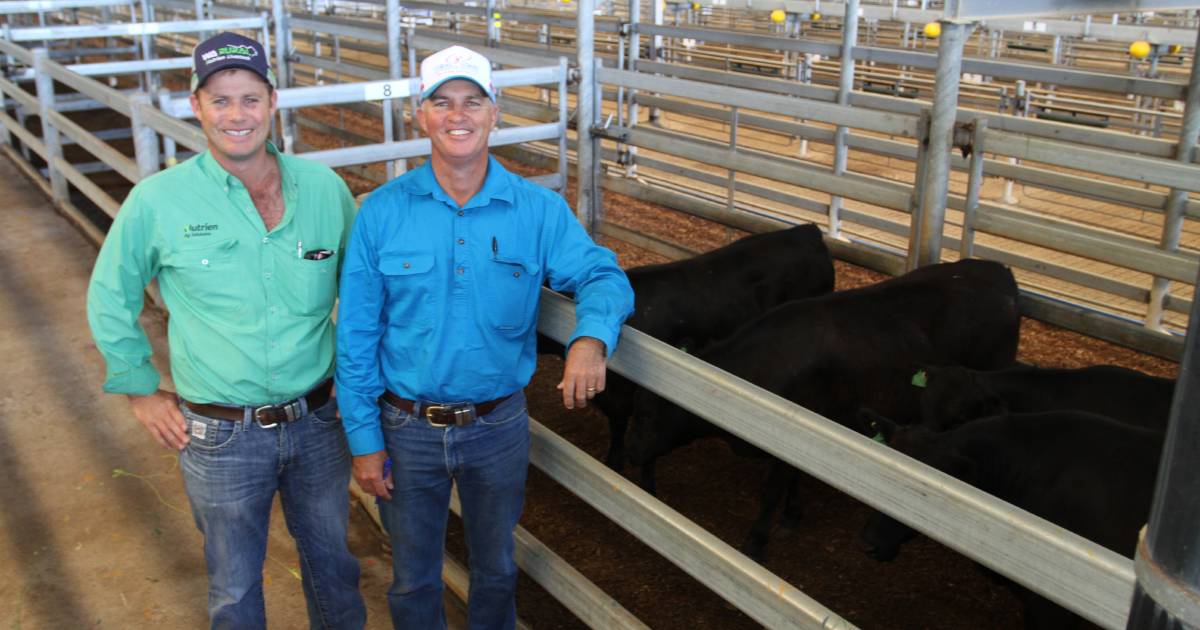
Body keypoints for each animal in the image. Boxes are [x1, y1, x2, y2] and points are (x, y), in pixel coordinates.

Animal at [628, 258, 1022, 556]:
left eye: (649, 413)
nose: (631, 456)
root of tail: (996, 269)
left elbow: (771, 491)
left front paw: (756, 541)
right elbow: (795, 479)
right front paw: (793, 515)